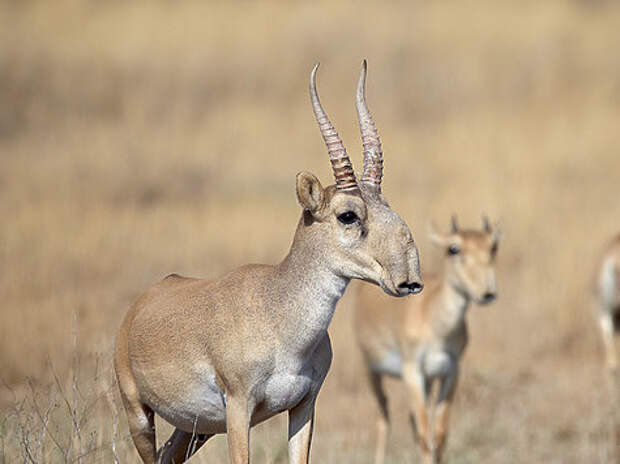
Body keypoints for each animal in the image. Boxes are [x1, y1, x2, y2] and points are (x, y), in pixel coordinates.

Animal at [112, 60, 422, 464]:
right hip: (140, 415)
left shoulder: (304, 406)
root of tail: (141, 305)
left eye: (386, 206)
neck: (278, 315)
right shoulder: (238, 407)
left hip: (193, 429)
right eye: (348, 215)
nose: (408, 278)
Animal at [354, 217, 498, 464]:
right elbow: (423, 433)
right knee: (383, 418)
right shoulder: (412, 372)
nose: (487, 293)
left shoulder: (450, 372)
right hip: (371, 370)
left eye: (492, 247)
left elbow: (438, 434)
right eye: (453, 248)